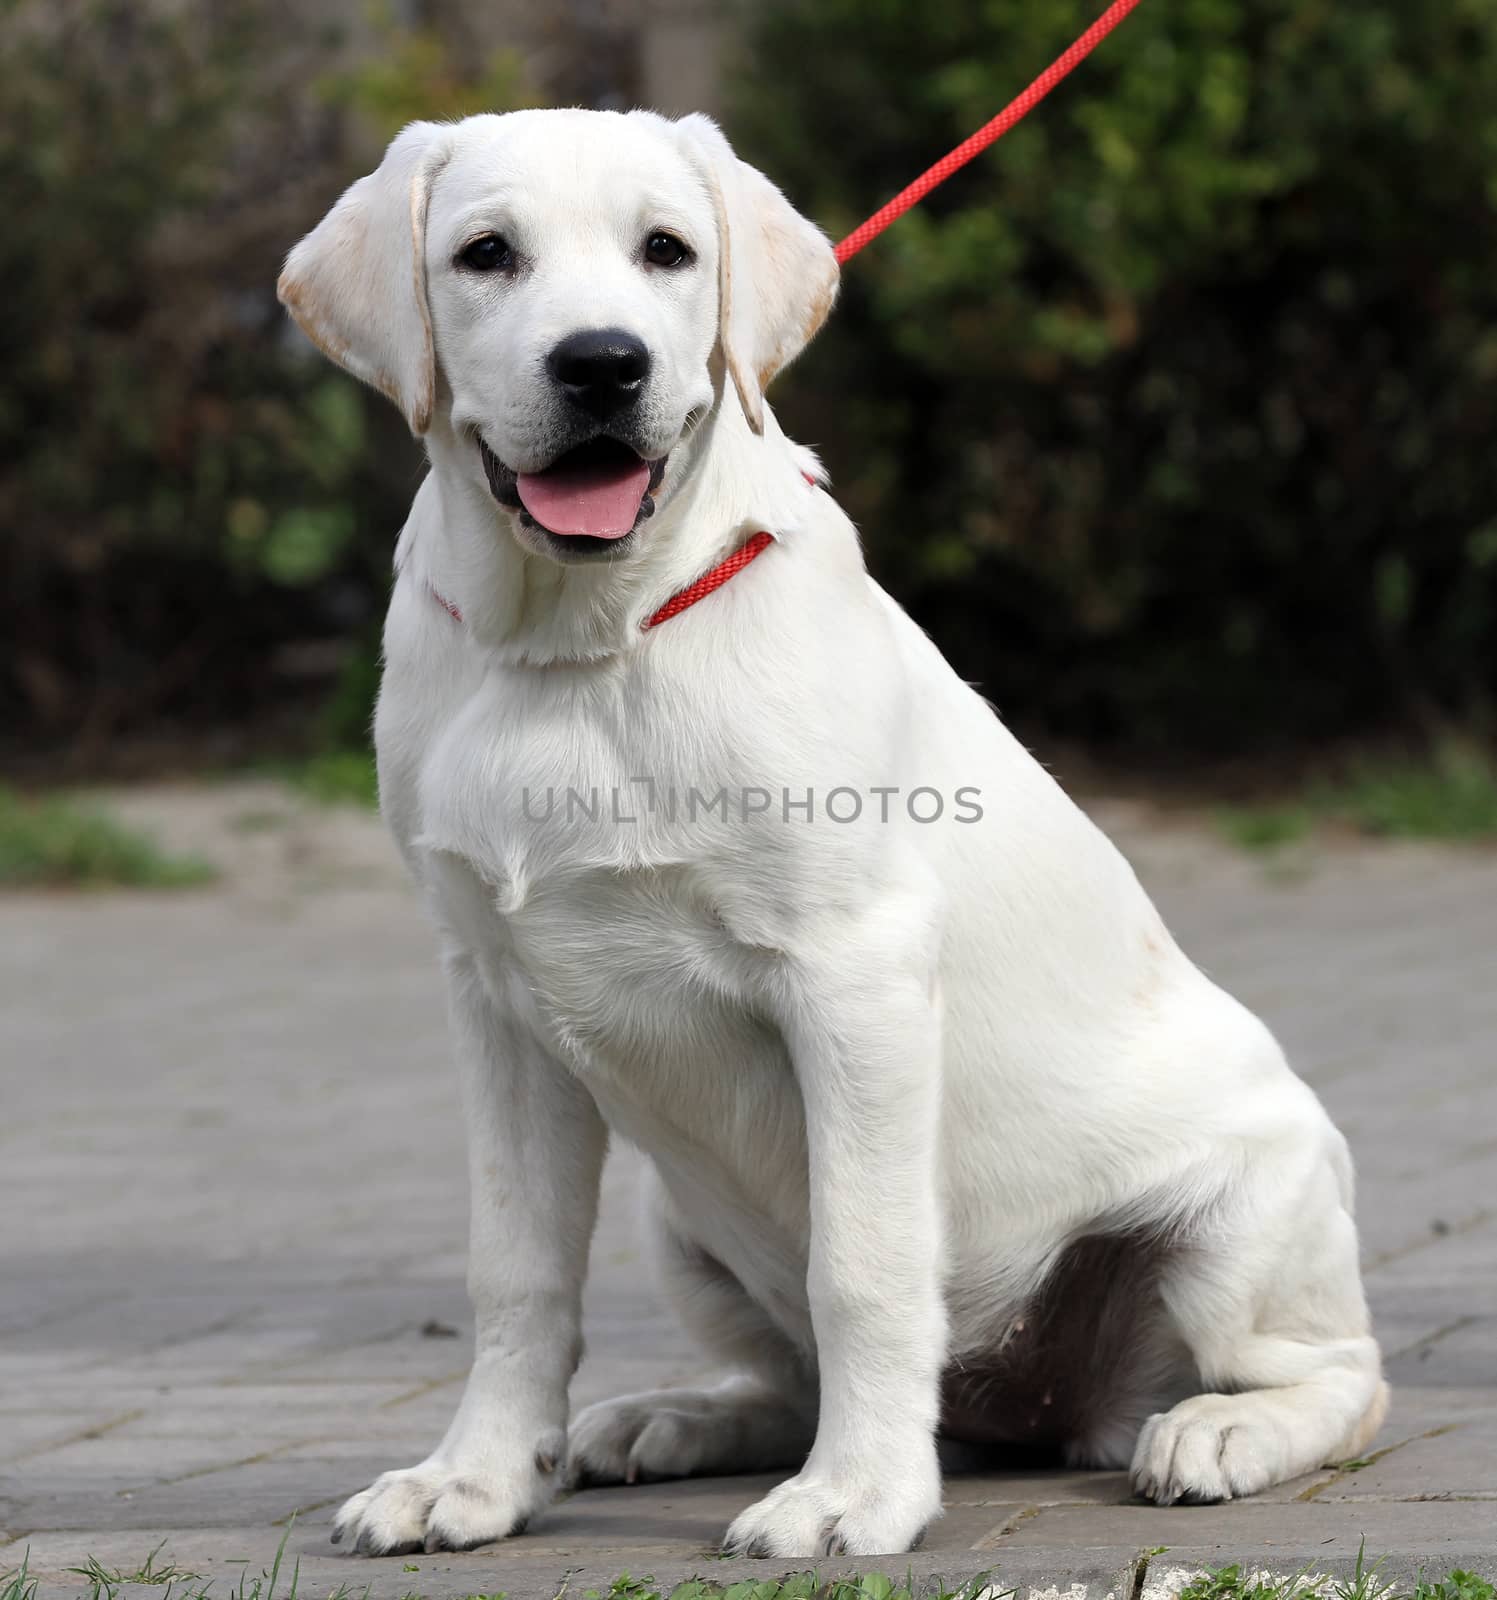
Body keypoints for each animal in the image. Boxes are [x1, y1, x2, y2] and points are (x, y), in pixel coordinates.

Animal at [275, 112, 1388, 1561]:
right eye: (484, 254)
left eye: (667, 250)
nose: (602, 364)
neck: (577, 642)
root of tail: (1034, 1408)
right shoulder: (494, 1002)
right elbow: (515, 1270)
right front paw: (472, 1478)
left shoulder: (853, 975)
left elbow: (860, 1265)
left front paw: (854, 1496)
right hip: (676, 1214)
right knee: (783, 1370)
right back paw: (672, 1419)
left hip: (1241, 1221)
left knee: (1341, 1374)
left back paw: (1218, 1432)